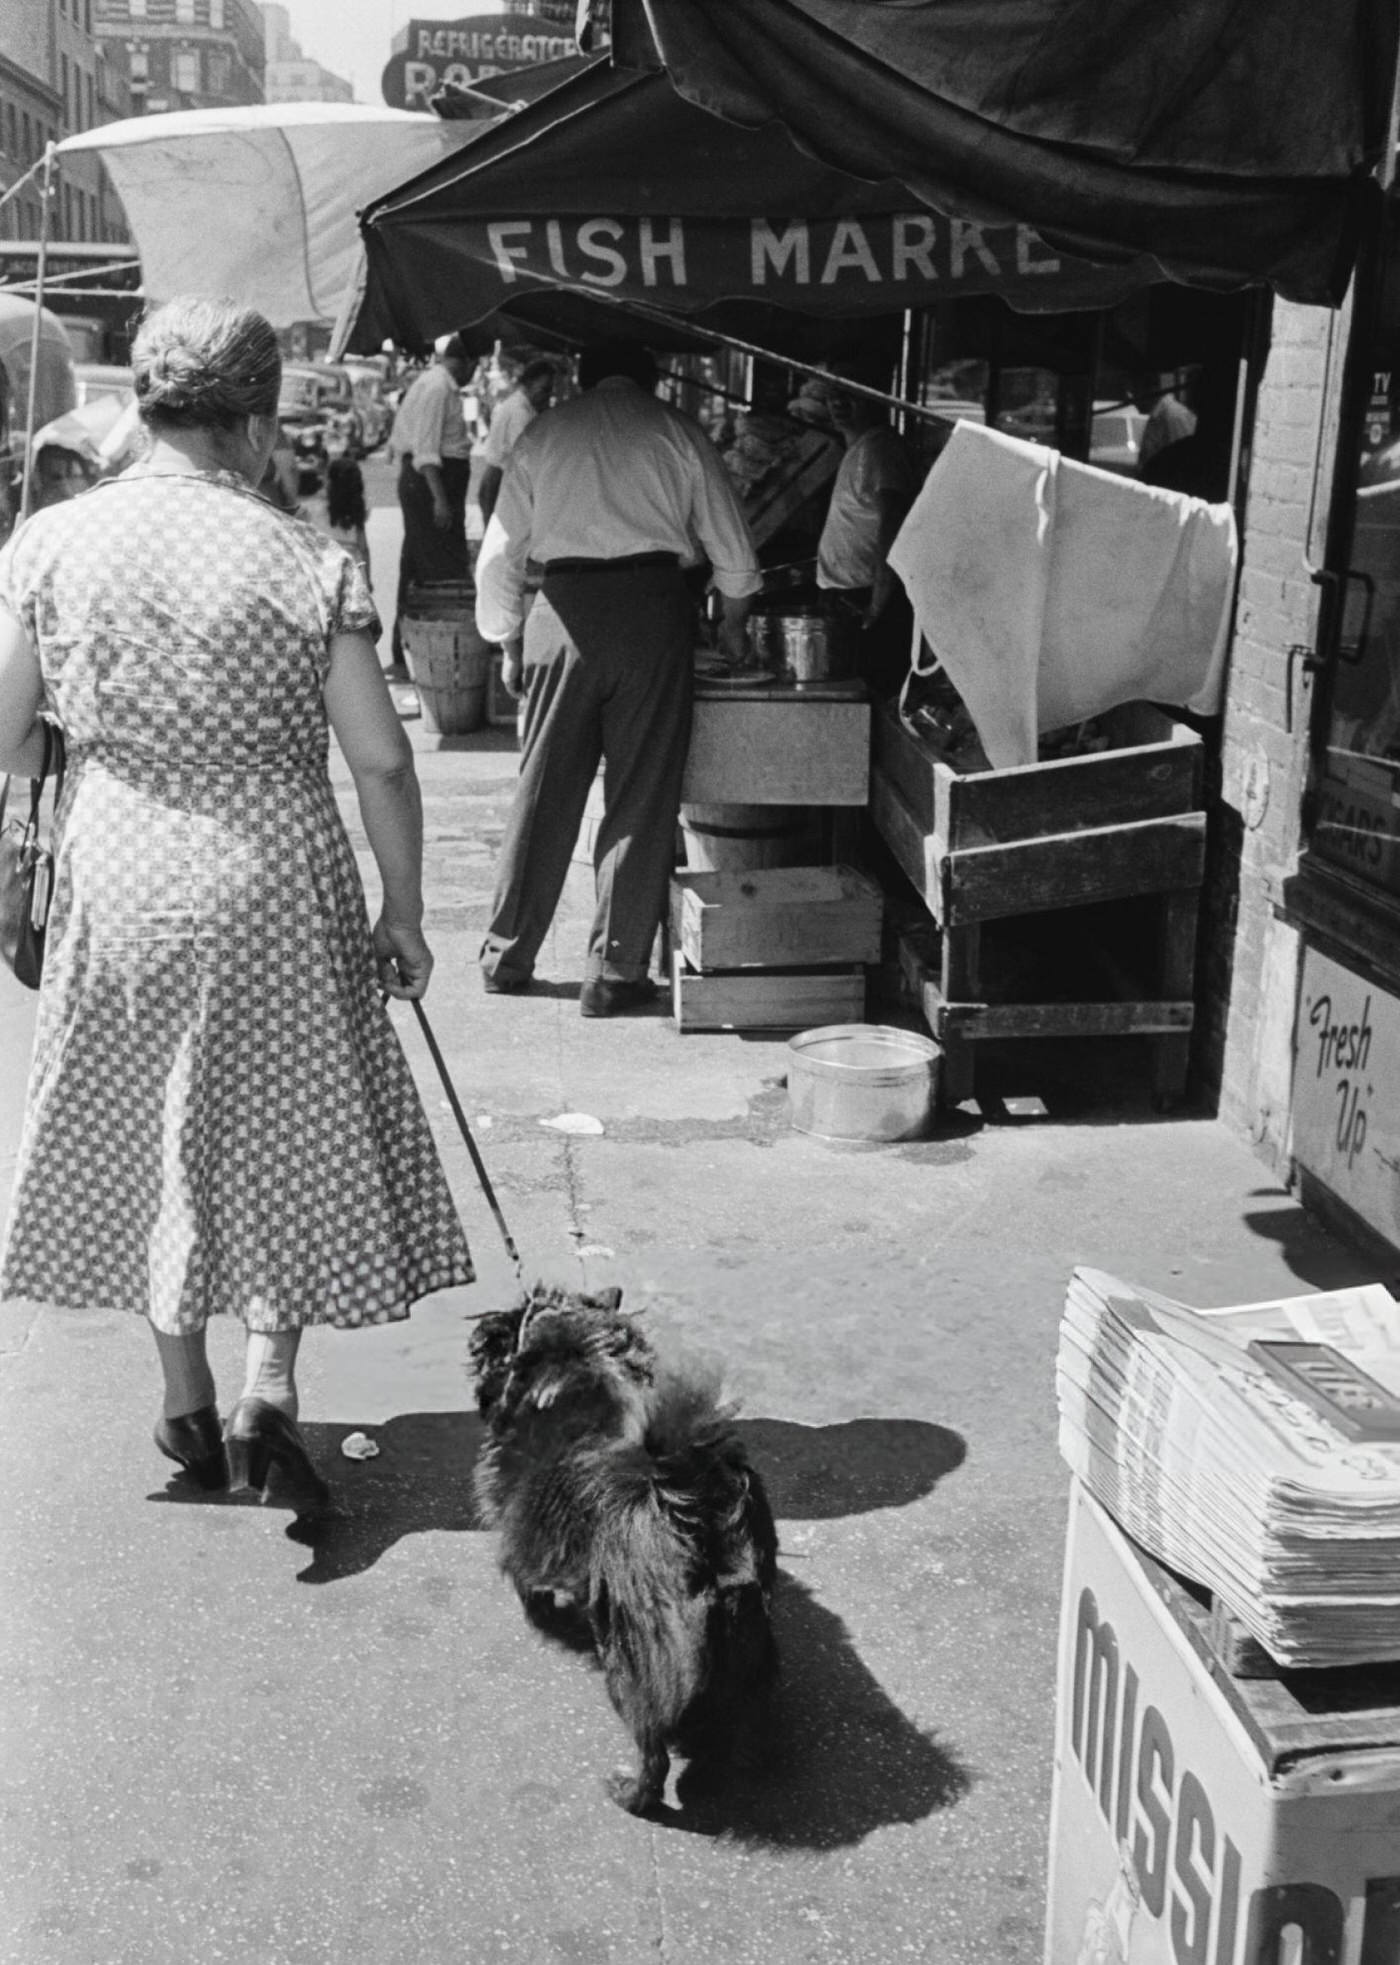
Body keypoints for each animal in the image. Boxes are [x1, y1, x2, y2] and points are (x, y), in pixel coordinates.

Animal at [467, 1281, 774, 1815]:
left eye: (499, 1338)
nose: (479, 1342)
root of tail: (692, 1499)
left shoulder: (518, 1528)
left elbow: (528, 1582)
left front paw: (540, 1613)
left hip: (626, 1657)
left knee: (654, 1752)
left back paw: (631, 1793)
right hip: (743, 1639)